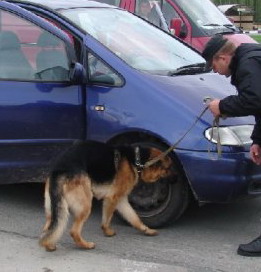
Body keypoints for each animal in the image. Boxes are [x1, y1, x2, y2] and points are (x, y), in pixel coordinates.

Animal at [38, 140, 172, 251]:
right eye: (168, 169)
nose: (174, 179)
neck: (136, 160)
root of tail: (59, 170)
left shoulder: (121, 200)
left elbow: (134, 218)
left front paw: (146, 230)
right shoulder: (113, 198)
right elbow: (107, 220)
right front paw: (107, 232)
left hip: (52, 208)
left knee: (49, 228)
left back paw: (49, 244)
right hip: (85, 205)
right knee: (74, 231)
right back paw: (86, 245)